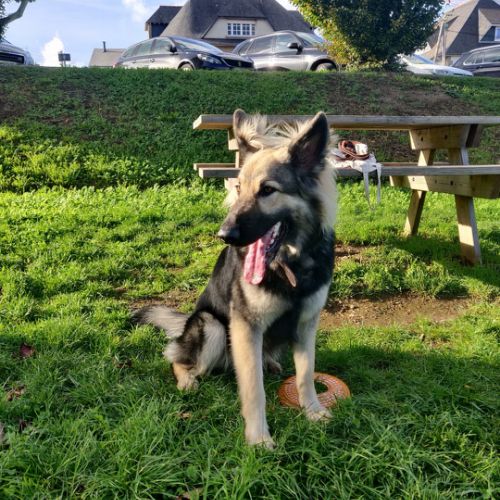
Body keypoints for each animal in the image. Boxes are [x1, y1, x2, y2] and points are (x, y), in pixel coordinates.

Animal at [135, 110, 337, 447]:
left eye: (267, 190)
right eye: (238, 188)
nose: (224, 234)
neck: (290, 264)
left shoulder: (306, 324)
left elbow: (306, 375)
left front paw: (312, 410)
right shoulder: (245, 327)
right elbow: (254, 388)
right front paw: (258, 438)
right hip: (213, 326)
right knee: (177, 357)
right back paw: (187, 379)